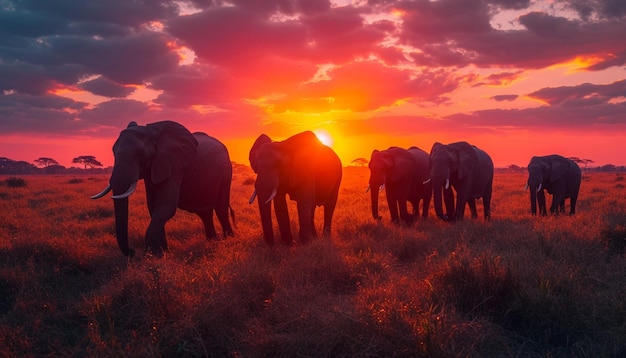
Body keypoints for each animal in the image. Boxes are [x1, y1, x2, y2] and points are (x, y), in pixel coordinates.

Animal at [89, 121, 232, 258]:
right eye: (113, 153)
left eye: (141, 155)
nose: (133, 251)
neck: (152, 132)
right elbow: (153, 207)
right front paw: (162, 253)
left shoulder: (174, 166)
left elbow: (165, 206)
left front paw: (152, 255)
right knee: (204, 212)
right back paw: (212, 241)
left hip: (226, 173)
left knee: (221, 208)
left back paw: (228, 240)